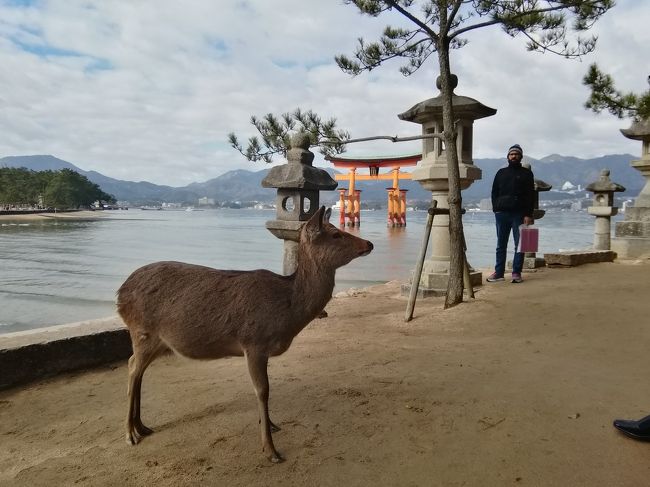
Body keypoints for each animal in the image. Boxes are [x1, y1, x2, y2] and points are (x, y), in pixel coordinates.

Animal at [115, 207, 370, 466]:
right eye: (336, 234)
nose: (368, 244)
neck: (287, 310)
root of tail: (120, 293)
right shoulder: (253, 342)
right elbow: (263, 390)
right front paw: (271, 449)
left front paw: (271, 425)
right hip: (142, 331)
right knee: (133, 367)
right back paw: (130, 433)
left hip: (157, 341)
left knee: (137, 368)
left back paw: (142, 426)